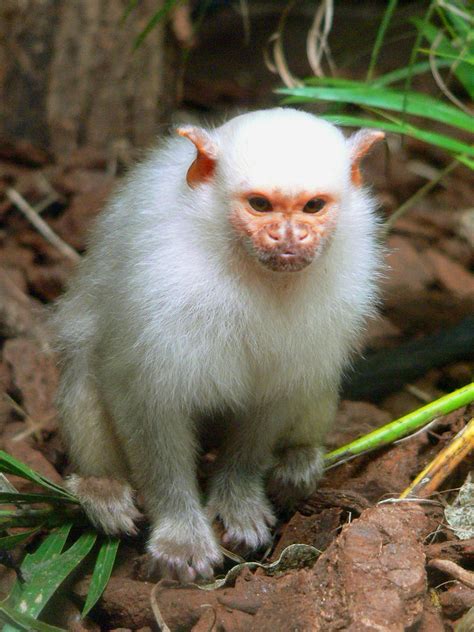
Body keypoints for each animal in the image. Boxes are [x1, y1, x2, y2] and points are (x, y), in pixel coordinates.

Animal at [52, 106, 386, 580]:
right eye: (260, 204)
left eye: (313, 206)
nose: (289, 236)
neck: (254, 272)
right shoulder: (160, 292)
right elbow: (146, 405)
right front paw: (181, 535)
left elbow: (270, 404)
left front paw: (238, 502)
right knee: (83, 367)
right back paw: (100, 486)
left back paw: (298, 459)